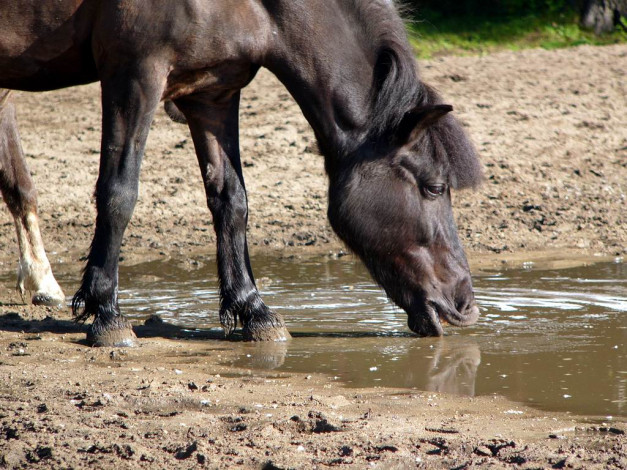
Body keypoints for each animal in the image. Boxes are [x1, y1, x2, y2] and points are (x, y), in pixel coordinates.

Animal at [0, 0, 484, 346]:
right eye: (434, 187)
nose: (464, 304)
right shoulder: (134, 75)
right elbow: (119, 192)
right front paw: (106, 315)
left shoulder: (212, 93)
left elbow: (231, 200)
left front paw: (255, 311)